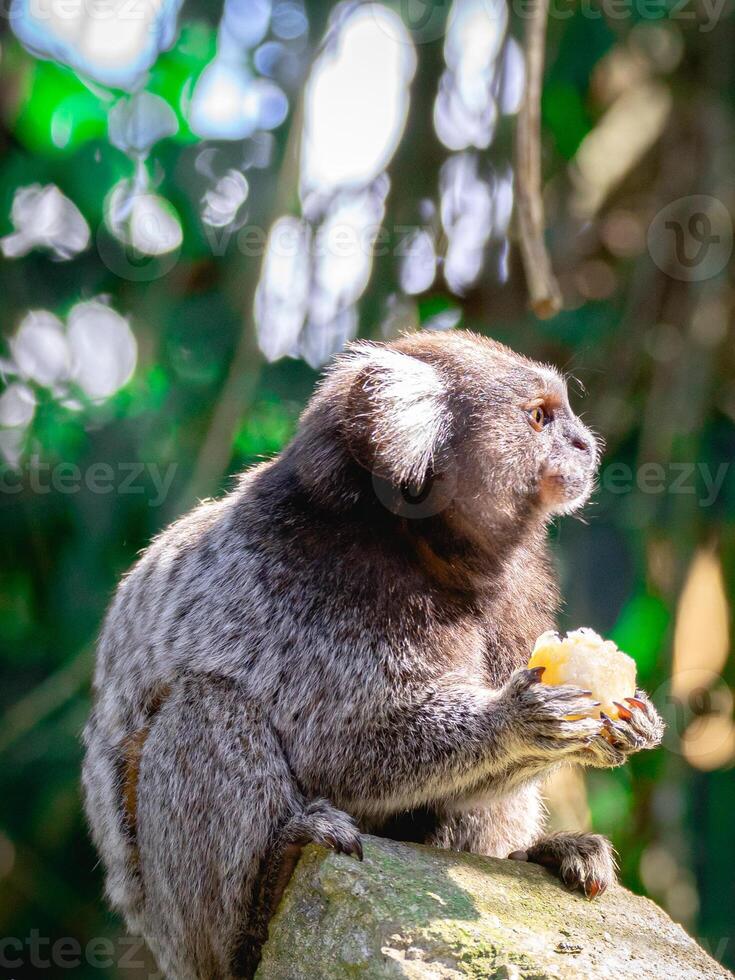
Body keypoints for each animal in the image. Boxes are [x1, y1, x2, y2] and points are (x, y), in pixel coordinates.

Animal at [82, 332, 668, 980]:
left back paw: (537, 855)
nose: (586, 443)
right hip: (176, 928)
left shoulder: (519, 594)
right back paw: (267, 894)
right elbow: (337, 748)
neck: (426, 547)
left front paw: (621, 728)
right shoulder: (311, 582)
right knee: (206, 705)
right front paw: (517, 719)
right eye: (539, 417)